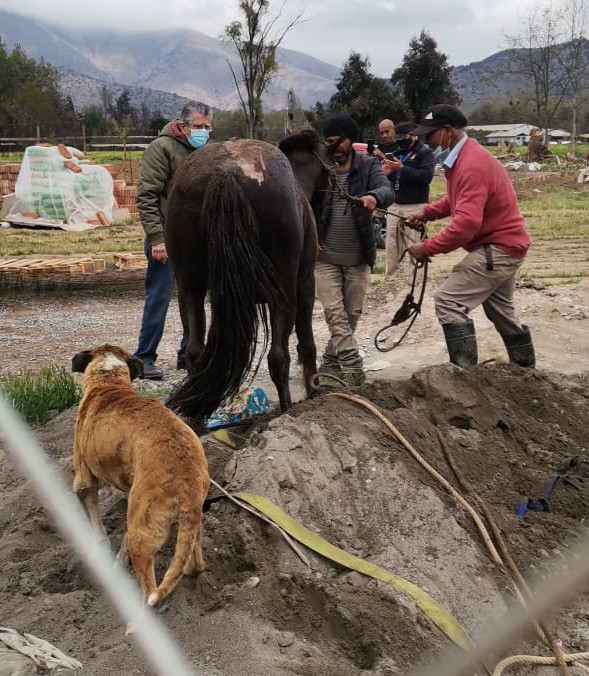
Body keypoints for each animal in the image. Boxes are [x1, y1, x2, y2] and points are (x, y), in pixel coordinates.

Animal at [72, 344, 209, 608]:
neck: (109, 381)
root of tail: (188, 482)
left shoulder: (83, 482)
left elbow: (96, 524)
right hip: (188, 527)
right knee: (195, 566)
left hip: (142, 533)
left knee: (149, 591)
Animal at [164, 129, 330, 422]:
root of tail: (226, 171)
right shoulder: (305, 286)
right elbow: (307, 346)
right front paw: (313, 394)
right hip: (283, 295)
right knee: (278, 357)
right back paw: (285, 412)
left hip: (189, 288)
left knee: (195, 352)